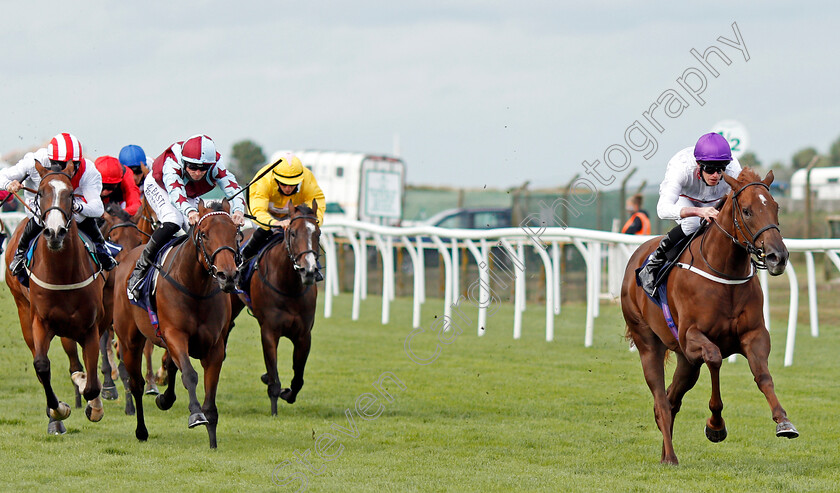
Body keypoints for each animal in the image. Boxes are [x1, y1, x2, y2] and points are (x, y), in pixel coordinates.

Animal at [4, 160, 106, 430]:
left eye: (70, 194)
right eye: (40, 193)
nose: (55, 232)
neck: (62, 273)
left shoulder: (90, 326)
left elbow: (92, 383)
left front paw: (94, 406)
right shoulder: (41, 321)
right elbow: (41, 365)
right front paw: (59, 409)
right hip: (23, 310)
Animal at [111, 198, 240, 448]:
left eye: (235, 233)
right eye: (204, 234)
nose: (227, 276)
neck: (196, 288)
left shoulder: (215, 347)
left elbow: (210, 392)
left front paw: (212, 439)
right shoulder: (175, 335)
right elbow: (189, 374)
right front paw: (196, 414)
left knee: (170, 366)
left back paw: (165, 399)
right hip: (130, 341)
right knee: (137, 383)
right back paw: (141, 430)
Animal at [231, 200, 320, 416]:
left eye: (318, 233)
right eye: (293, 233)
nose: (309, 271)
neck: (289, 287)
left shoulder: (304, 335)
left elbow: (298, 378)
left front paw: (287, 393)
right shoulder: (269, 332)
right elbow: (274, 378)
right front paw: (274, 410)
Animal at [624, 167, 800, 464]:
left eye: (775, 207)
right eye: (747, 211)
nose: (778, 257)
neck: (724, 271)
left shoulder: (754, 334)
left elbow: (763, 375)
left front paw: (783, 422)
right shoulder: (692, 337)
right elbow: (715, 358)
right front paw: (715, 426)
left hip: (686, 362)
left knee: (671, 399)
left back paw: (665, 454)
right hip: (648, 343)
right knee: (661, 401)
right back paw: (671, 457)